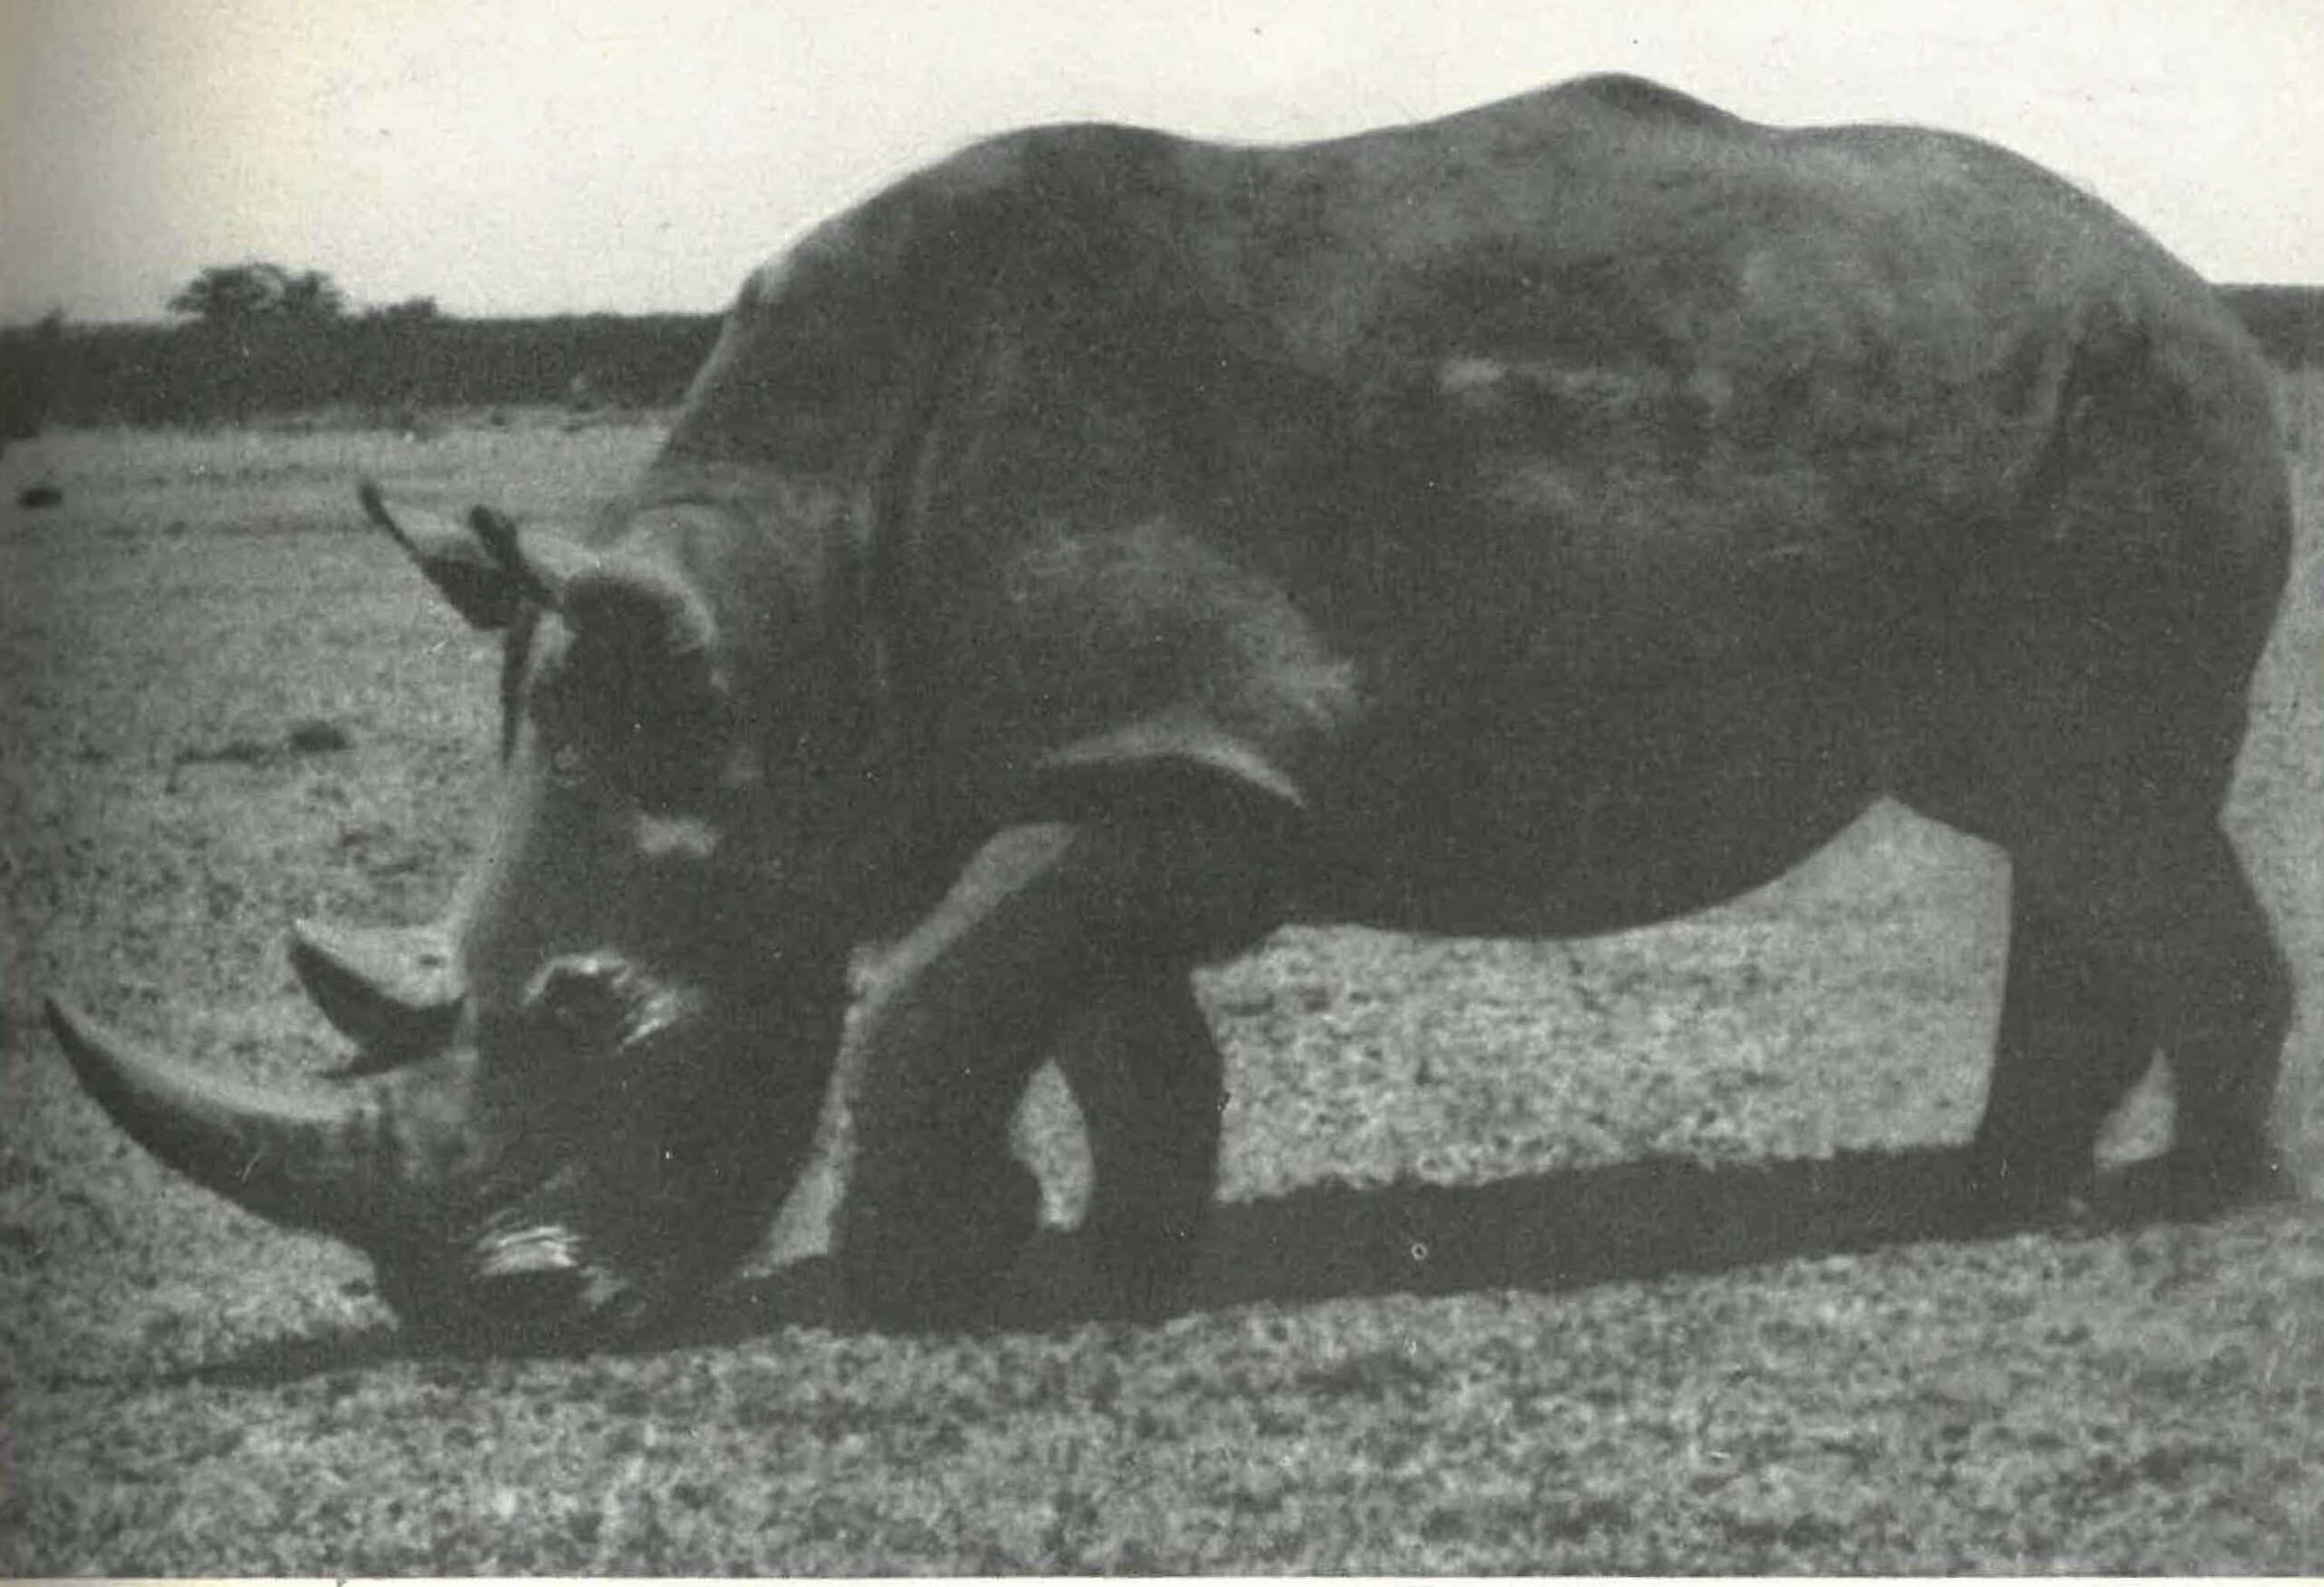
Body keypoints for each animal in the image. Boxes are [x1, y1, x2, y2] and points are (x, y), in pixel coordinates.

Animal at [49, 75, 2292, 1341]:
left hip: (2146, 400)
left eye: (600, 1013)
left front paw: (922, 1279)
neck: (776, 613)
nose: (495, 1323)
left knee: (2101, 799)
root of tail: (2185, 274)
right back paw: (2000, 1190)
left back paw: (2169, 1201)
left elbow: (952, 993)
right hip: (2025, 391)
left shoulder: (1210, 760)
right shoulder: (1105, 758)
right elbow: (1096, 1017)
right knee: (2062, 810)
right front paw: (1101, 1251)